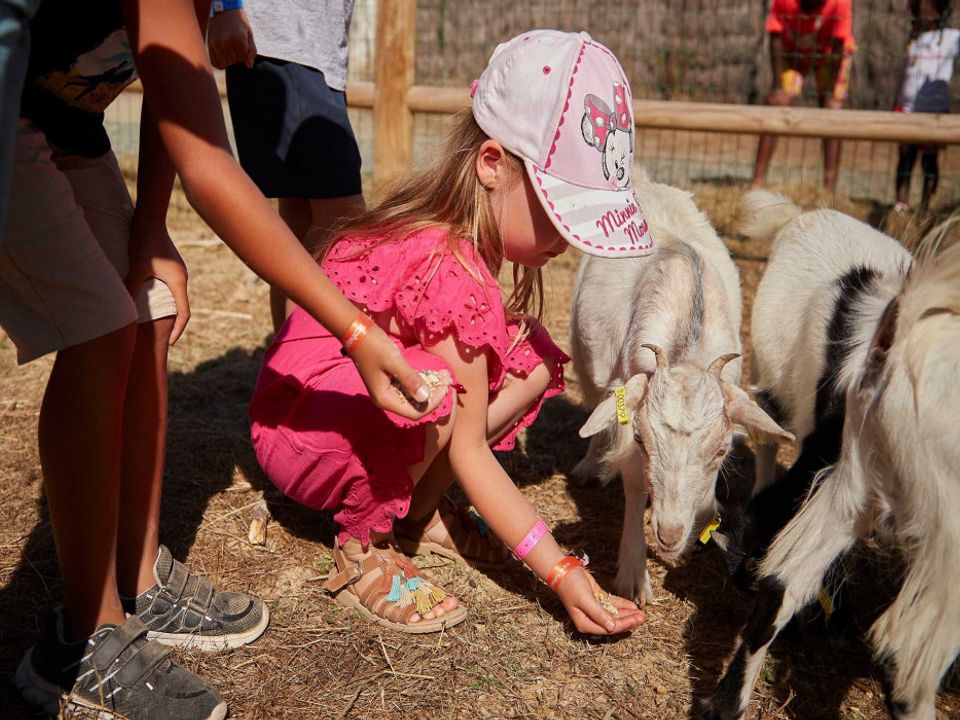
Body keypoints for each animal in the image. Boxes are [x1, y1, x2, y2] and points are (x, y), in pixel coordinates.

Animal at [572, 179, 792, 600]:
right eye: (641, 440)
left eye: (722, 450)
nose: (670, 534)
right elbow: (633, 479)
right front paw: (633, 575)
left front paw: (704, 519)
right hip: (584, 359)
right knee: (593, 409)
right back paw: (588, 468)